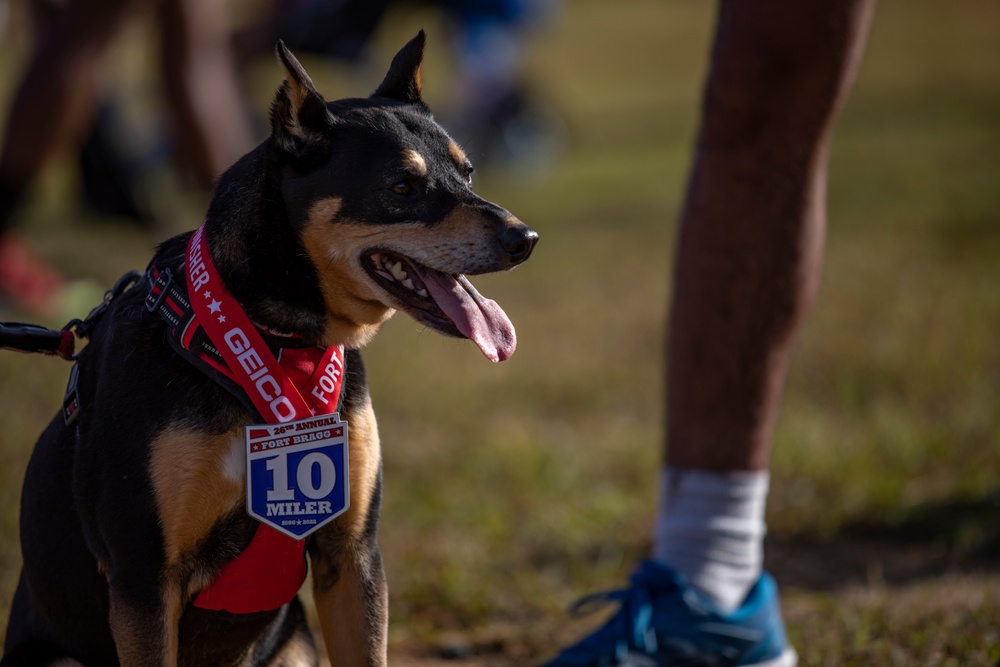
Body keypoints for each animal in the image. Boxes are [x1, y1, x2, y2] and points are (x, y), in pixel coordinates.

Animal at [0, 32, 540, 667]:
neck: (270, 344)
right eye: (401, 188)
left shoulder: (351, 554)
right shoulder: (143, 580)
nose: (524, 239)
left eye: (469, 172)